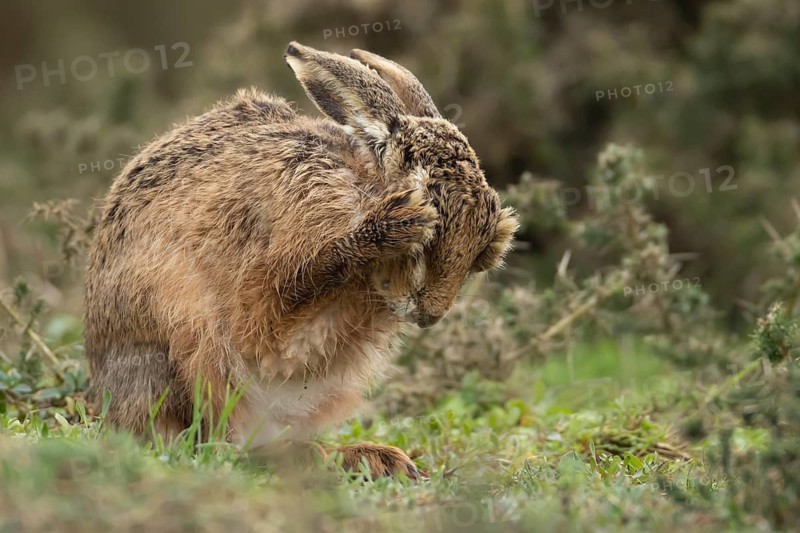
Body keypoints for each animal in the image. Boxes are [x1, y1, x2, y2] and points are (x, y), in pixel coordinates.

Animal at [84, 42, 518, 478]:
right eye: (424, 244)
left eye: (477, 252)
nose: (431, 315)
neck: (359, 187)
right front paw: (392, 224)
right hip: (175, 359)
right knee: (207, 443)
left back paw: (373, 457)